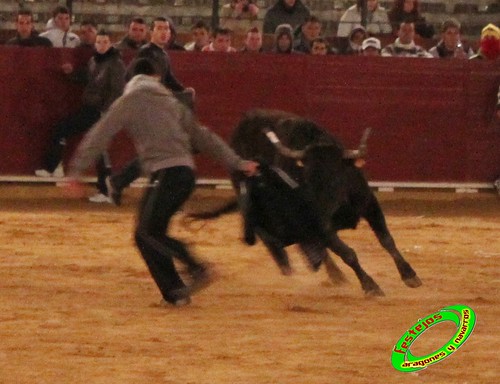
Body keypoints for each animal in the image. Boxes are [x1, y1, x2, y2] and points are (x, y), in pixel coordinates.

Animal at [230, 109, 422, 296]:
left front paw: (409, 275)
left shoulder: (369, 204)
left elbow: (387, 240)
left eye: (337, 177)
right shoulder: (320, 226)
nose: (320, 211)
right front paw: (370, 285)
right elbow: (347, 253)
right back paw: (295, 266)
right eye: (307, 177)